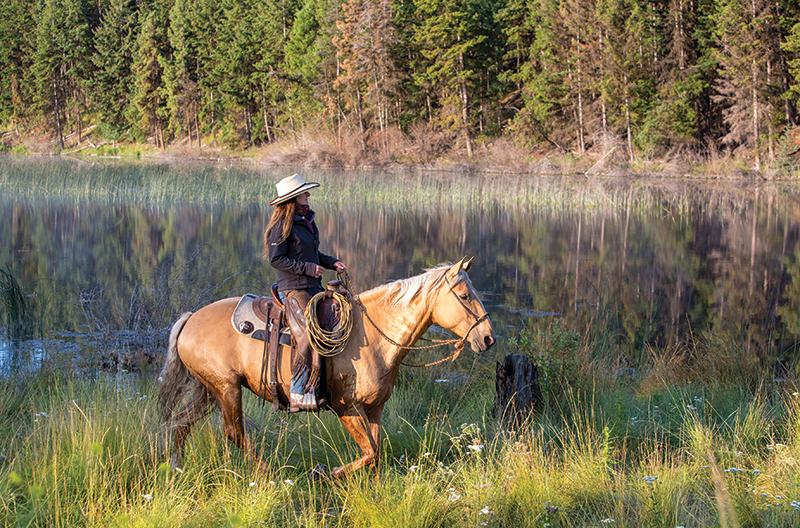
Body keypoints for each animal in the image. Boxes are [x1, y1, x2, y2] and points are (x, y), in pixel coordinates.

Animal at [158, 257, 497, 478]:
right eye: (464, 295)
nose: (488, 338)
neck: (371, 335)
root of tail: (190, 318)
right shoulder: (345, 407)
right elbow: (369, 451)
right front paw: (324, 472)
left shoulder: (374, 409)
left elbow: (376, 453)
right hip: (226, 388)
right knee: (233, 431)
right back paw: (267, 471)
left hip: (208, 389)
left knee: (182, 423)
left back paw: (176, 466)